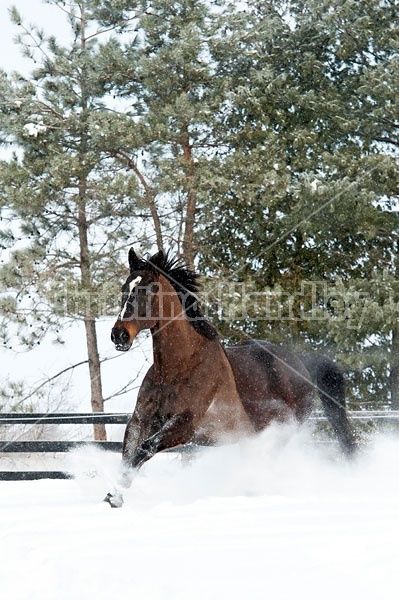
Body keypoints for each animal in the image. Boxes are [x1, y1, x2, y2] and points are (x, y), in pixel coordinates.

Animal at [106, 248, 356, 506]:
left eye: (147, 290)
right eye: (124, 288)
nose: (119, 335)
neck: (176, 369)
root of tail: (301, 364)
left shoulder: (184, 425)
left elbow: (144, 449)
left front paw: (117, 494)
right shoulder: (141, 420)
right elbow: (128, 454)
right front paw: (114, 495)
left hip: (282, 429)